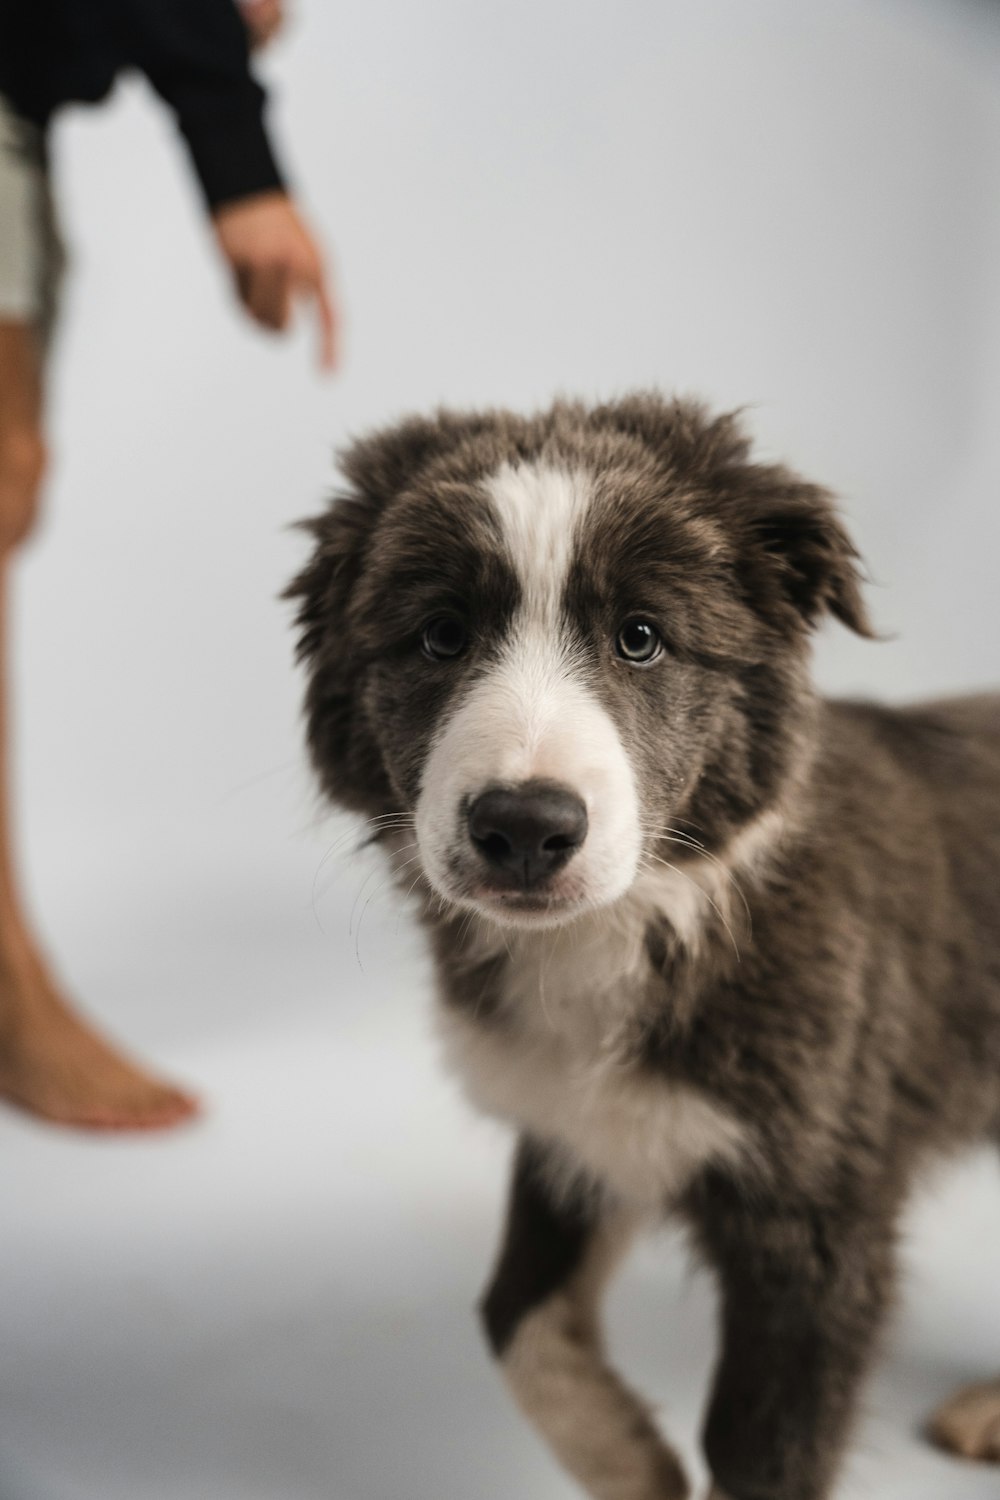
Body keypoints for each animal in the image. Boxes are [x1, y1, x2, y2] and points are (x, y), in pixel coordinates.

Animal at [287, 396, 1000, 1500]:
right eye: (440, 635)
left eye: (641, 639)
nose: (524, 828)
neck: (633, 923)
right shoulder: (573, 1126)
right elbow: (514, 1316)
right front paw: (632, 1458)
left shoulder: (813, 1213)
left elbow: (762, 1456)